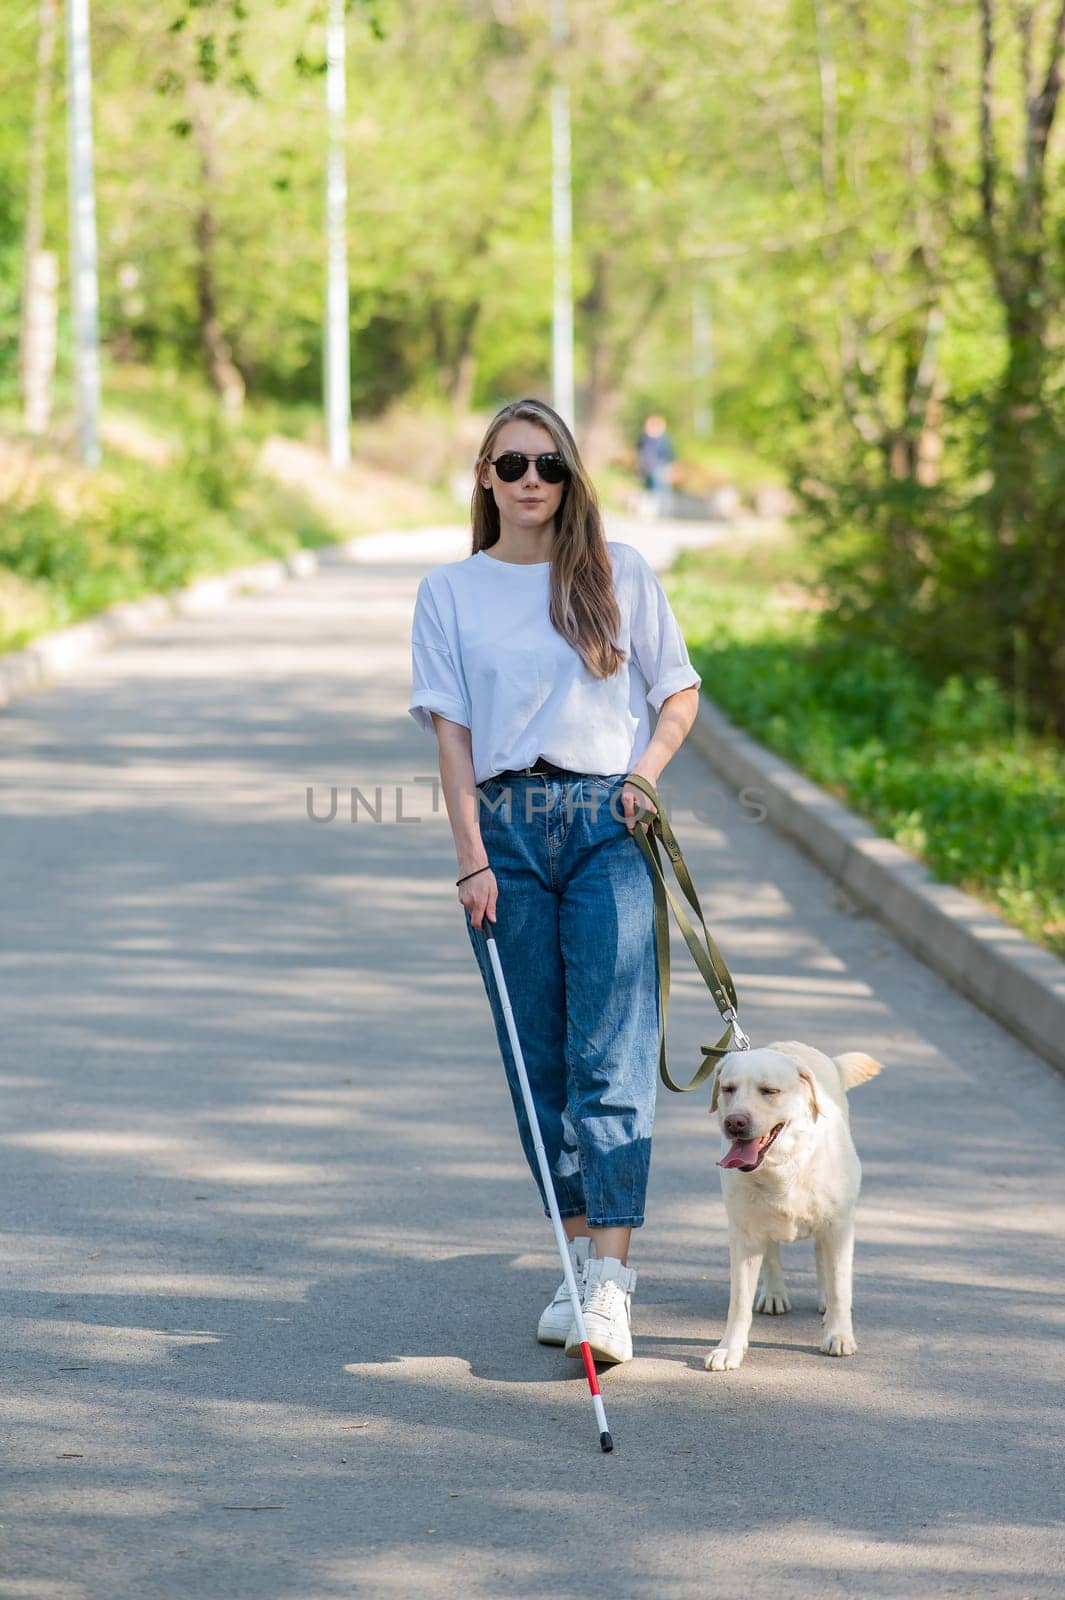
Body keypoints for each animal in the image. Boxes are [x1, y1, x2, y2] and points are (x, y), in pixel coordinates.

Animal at [703, 1036, 876, 1376]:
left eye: (769, 1091)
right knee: (772, 1254)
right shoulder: (744, 1235)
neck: (782, 1167)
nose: (735, 1122)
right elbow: (739, 1301)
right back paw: (773, 1294)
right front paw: (729, 1349)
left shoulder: (838, 1226)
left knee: (823, 1259)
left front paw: (838, 1334)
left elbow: (840, 1284)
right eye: (728, 1089)